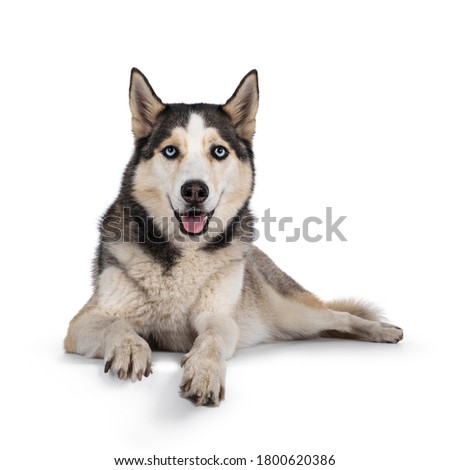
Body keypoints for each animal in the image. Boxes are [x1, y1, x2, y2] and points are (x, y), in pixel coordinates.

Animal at [64, 68, 404, 406]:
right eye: (171, 150)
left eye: (219, 151)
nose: (195, 190)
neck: (184, 252)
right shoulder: (82, 322)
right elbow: (117, 322)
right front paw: (130, 347)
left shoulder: (220, 317)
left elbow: (212, 339)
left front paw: (204, 373)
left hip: (295, 312)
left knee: (341, 315)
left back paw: (382, 330)